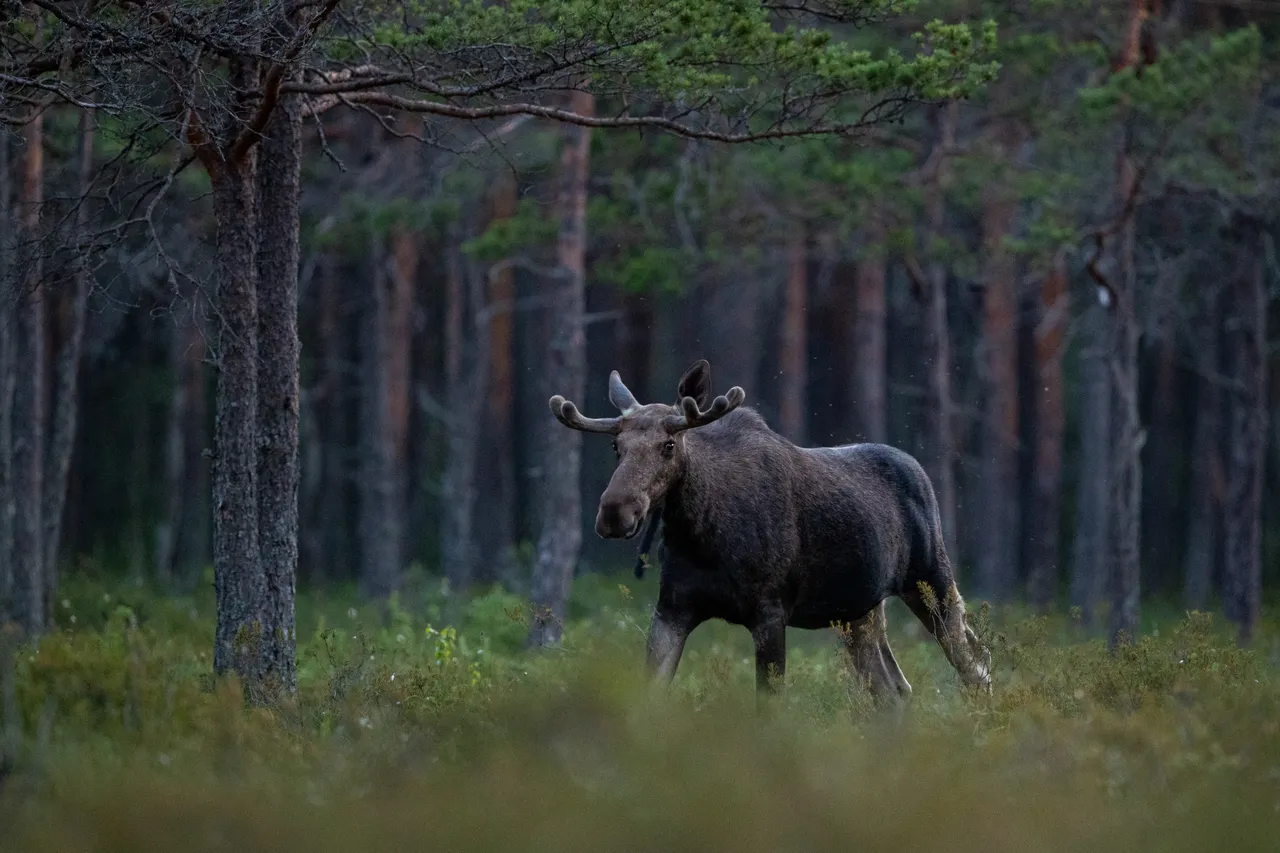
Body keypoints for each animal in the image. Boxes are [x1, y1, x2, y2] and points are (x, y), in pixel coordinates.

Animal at [548, 359, 991, 700]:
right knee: (894, 690)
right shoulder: (672, 609)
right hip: (859, 610)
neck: (699, 537)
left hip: (931, 580)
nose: (614, 513)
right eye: (616, 447)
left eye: (668, 446)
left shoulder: (770, 612)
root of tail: (920, 471)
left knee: (977, 666)